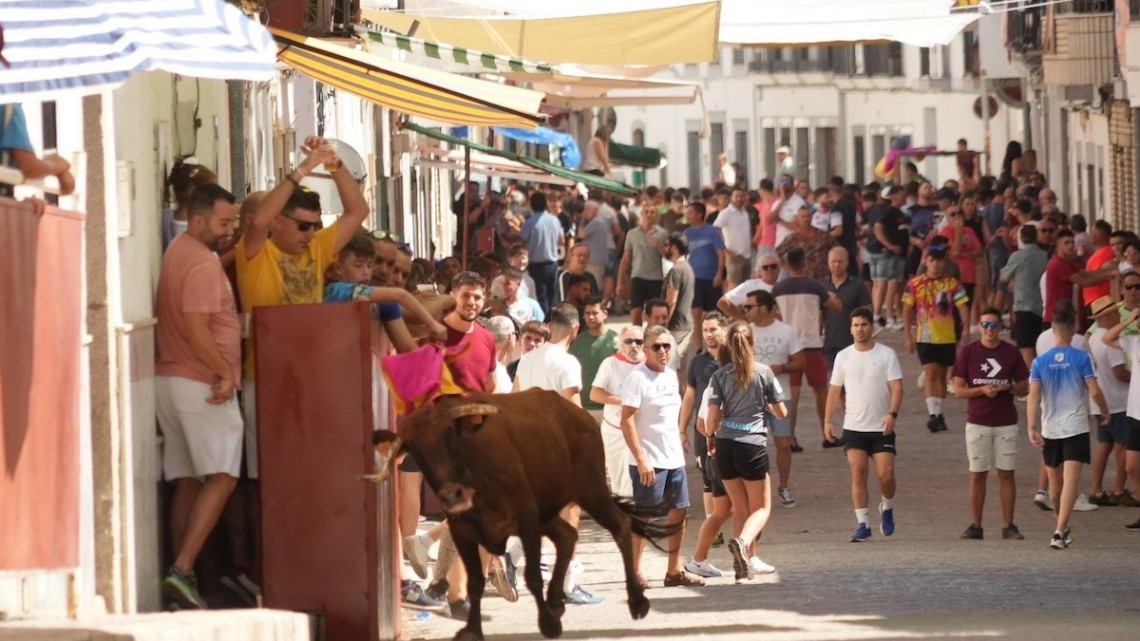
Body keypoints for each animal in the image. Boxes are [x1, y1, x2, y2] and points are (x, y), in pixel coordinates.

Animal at [371, 387, 674, 638]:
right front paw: (473, 629)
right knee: (568, 535)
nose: (450, 494)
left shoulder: (526, 518)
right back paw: (555, 601)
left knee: (620, 524)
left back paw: (636, 601)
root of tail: (580, 415)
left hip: (590, 488)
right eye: (417, 452)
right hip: (550, 511)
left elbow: (532, 576)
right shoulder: (462, 530)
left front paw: (548, 624)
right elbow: (475, 582)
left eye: (451, 438)